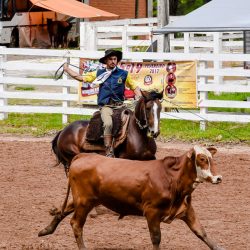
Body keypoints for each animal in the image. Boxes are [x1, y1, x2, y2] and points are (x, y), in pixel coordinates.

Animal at [37, 91, 162, 237]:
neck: (136, 133)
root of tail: (63, 131)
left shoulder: (149, 159)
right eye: (148, 108)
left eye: (159, 108)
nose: (155, 132)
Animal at [63, 146, 222, 249]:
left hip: (84, 200)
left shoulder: (186, 210)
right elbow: (156, 238)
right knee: (76, 224)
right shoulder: (152, 212)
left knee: (61, 211)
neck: (172, 177)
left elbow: (201, 232)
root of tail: (84, 156)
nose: (218, 178)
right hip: (84, 202)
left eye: (212, 158)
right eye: (202, 159)